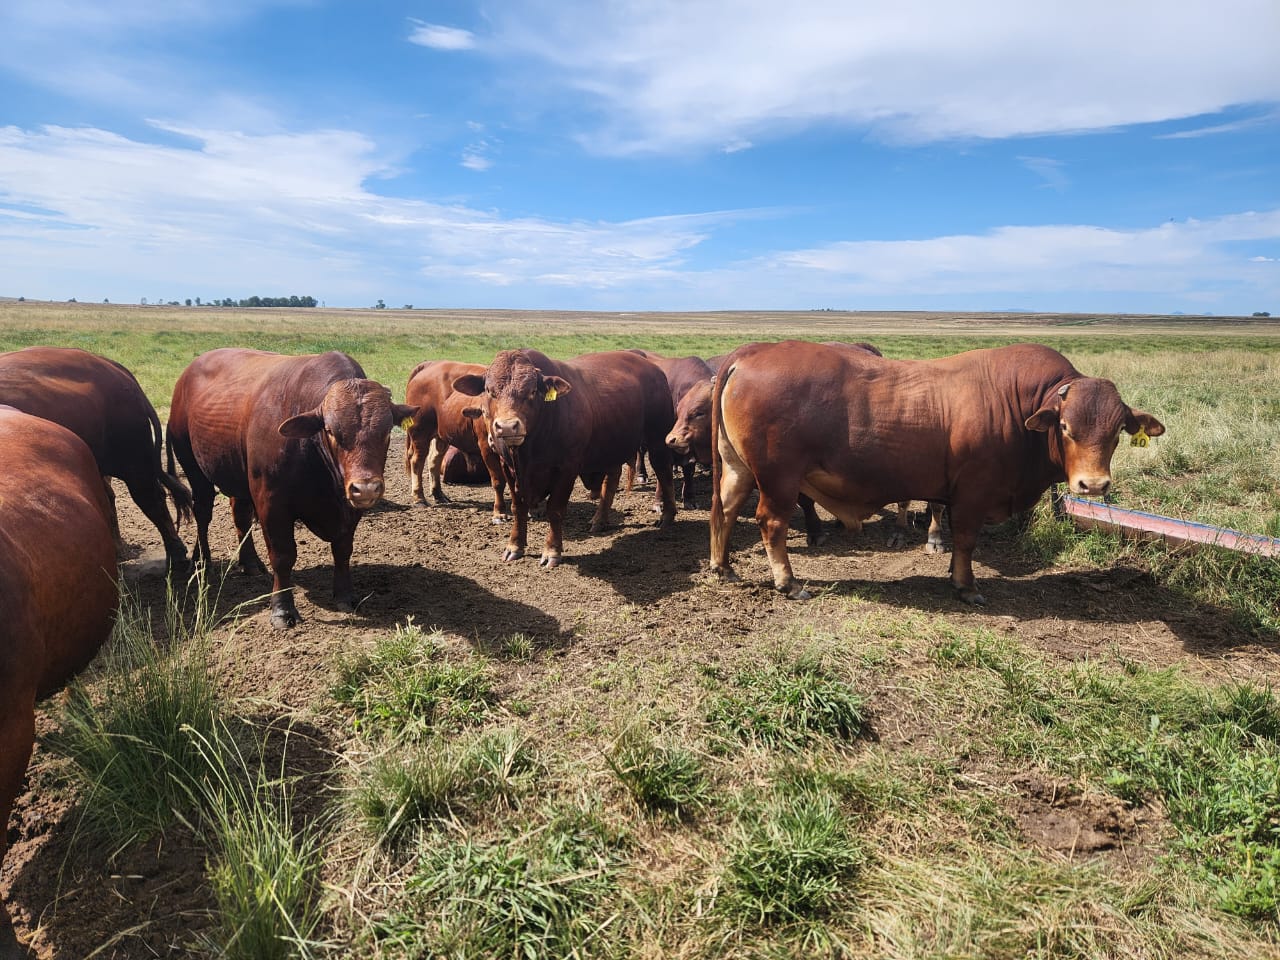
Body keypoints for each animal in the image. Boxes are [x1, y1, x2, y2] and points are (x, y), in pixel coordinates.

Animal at [166, 349, 414, 629]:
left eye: (386, 432)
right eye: (331, 431)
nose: (367, 488)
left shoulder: (350, 509)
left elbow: (342, 550)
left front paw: (345, 595)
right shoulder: (272, 504)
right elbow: (283, 556)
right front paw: (282, 610)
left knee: (240, 516)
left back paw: (250, 563)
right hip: (194, 468)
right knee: (202, 512)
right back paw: (200, 561)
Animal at [404, 360, 509, 523]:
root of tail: (430, 364)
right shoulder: (486, 446)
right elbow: (498, 480)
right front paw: (499, 514)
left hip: (441, 436)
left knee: (434, 460)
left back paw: (439, 495)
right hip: (420, 432)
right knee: (417, 461)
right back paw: (419, 498)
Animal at [453, 349, 677, 567]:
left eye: (532, 391)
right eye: (490, 391)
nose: (507, 427)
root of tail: (653, 368)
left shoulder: (566, 469)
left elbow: (555, 510)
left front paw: (552, 551)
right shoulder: (508, 467)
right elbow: (518, 508)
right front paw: (514, 546)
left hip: (657, 440)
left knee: (664, 473)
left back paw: (667, 515)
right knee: (612, 479)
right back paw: (599, 520)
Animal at [710, 341, 1164, 604]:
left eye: (1116, 433)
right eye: (1067, 427)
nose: (1094, 484)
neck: (1019, 405)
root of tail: (748, 354)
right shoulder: (974, 493)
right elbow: (965, 540)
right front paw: (966, 585)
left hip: (736, 467)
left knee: (725, 510)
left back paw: (723, 566)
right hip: (779, 478)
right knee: (770, 522)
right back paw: (788, 583)